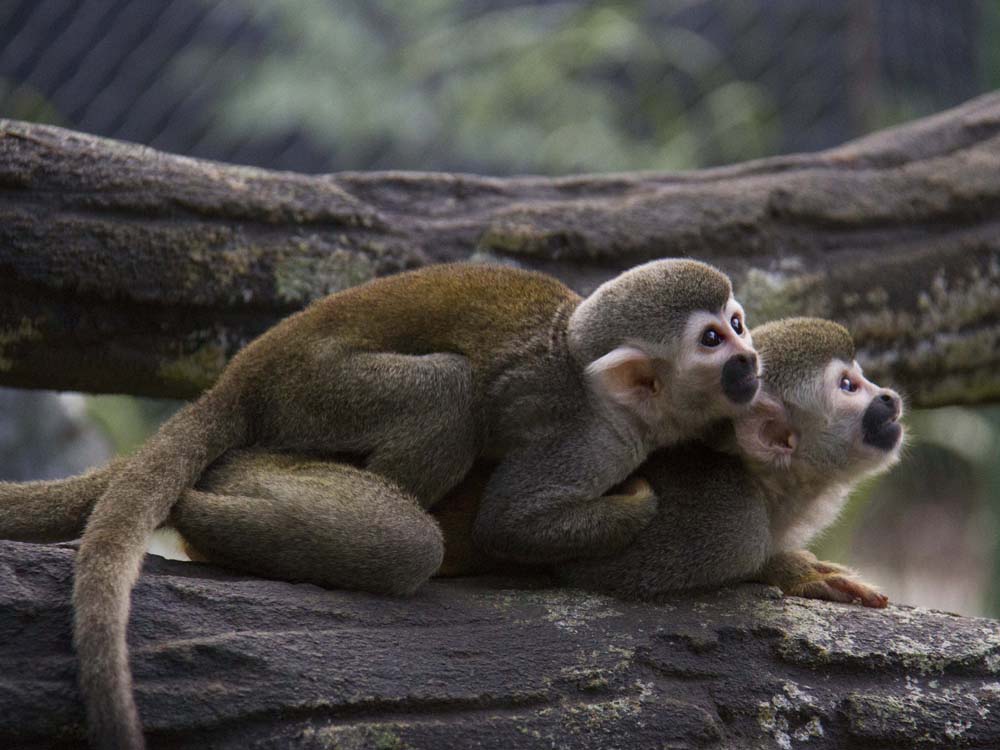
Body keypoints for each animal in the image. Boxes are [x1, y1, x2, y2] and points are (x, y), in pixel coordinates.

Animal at [0, 259, 760, 749]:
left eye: (740, 323)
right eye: (712, 340)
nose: (751, 360)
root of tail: (243, 373)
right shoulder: (589, 439)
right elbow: (513, 524)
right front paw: (636, 504)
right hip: (320, 391)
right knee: (444, 399)